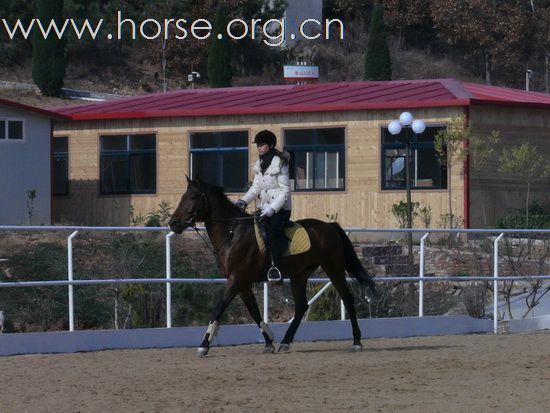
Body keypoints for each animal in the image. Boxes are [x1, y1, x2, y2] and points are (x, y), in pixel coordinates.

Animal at [168, 175, 378, 356]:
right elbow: (254, 312)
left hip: (333, 268)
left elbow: (218, 309)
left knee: (348, 299)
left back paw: (357, 342)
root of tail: (330, 226)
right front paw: (269, 341)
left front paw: (203, 346)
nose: (173, 223)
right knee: (301, 306)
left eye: (192, 197)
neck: (232, 233)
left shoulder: (236, 279)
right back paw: (285, 342)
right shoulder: (241, 282)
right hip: (299, 274)